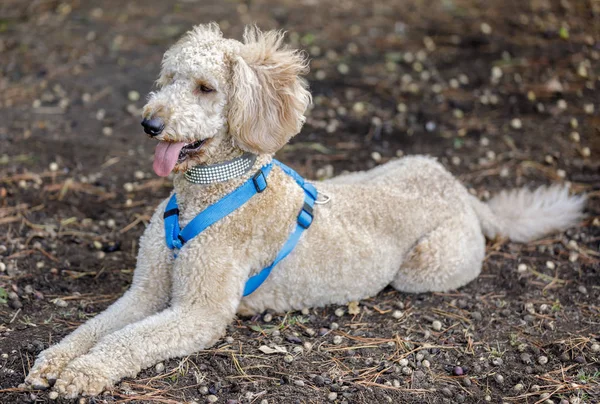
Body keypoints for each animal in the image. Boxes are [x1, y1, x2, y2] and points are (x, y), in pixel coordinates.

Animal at [24, 23, 584, 396]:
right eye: (168, 78)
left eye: (205, 88)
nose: (150, 123)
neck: (207, 192)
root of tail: (460, 189)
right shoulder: (145, 290)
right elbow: (97, 327)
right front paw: (55, 361)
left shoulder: (198, 312)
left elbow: (127, 341)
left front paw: (84, 373)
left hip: (427, 267)